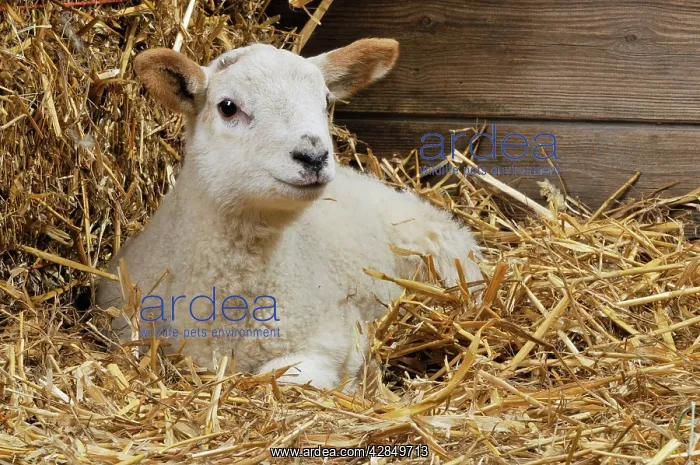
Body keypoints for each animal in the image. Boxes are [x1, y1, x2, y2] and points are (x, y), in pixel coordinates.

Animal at [97, 38, 482, 389]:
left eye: (325, 101)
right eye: (227, 107)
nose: (313, 156)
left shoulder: (334, 339)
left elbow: (278, 377)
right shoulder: (123, 326)